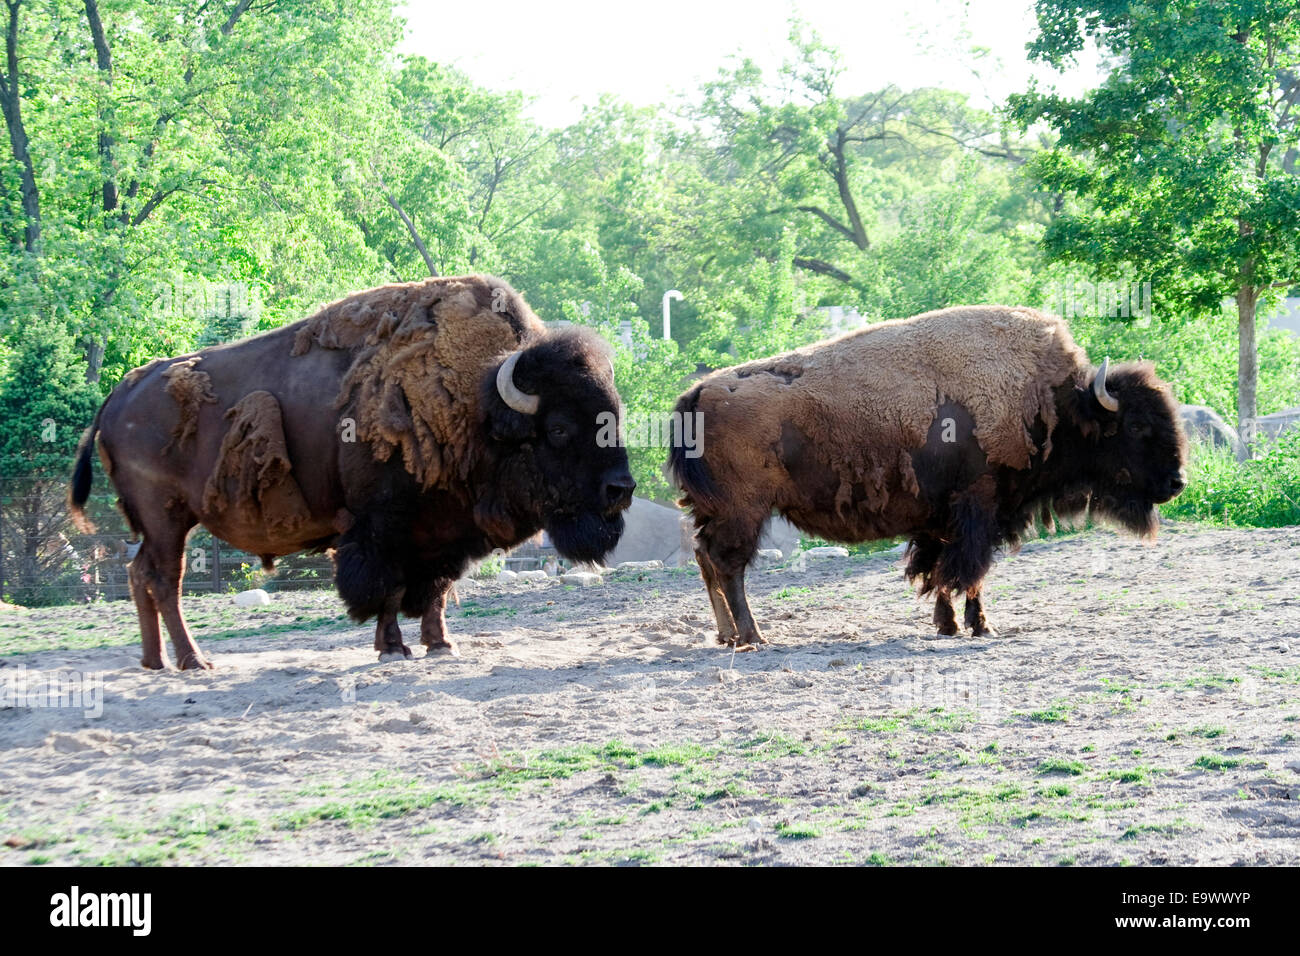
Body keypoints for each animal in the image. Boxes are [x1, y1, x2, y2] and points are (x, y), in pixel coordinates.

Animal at [69, 273, 634, 671]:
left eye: (613, 417)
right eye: (558, 428)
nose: (621, 489)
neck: (475, 402)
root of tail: (117, 397)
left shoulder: (443, 533)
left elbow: (435, 590)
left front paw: (440, 645)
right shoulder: (380, 527)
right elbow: (385, 589)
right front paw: (393, 649)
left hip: (162, 524)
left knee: (140, 574)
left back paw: (154, 661)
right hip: (167, 518)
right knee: (166, 579)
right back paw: (193, 661)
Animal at [670, 306, 1190, 650]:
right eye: (1138, 426)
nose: (1177, 482)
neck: (1053, 402)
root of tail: (700, 391)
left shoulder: (943, 519)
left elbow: (940, 571)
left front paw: (949, 624)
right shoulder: (979, 510)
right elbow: (970, 572)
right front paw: (980, 626)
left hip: (713, 511)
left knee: (705, 558)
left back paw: (726, 635)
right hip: (744, 512)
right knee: (728, 565)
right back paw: (753, 636)